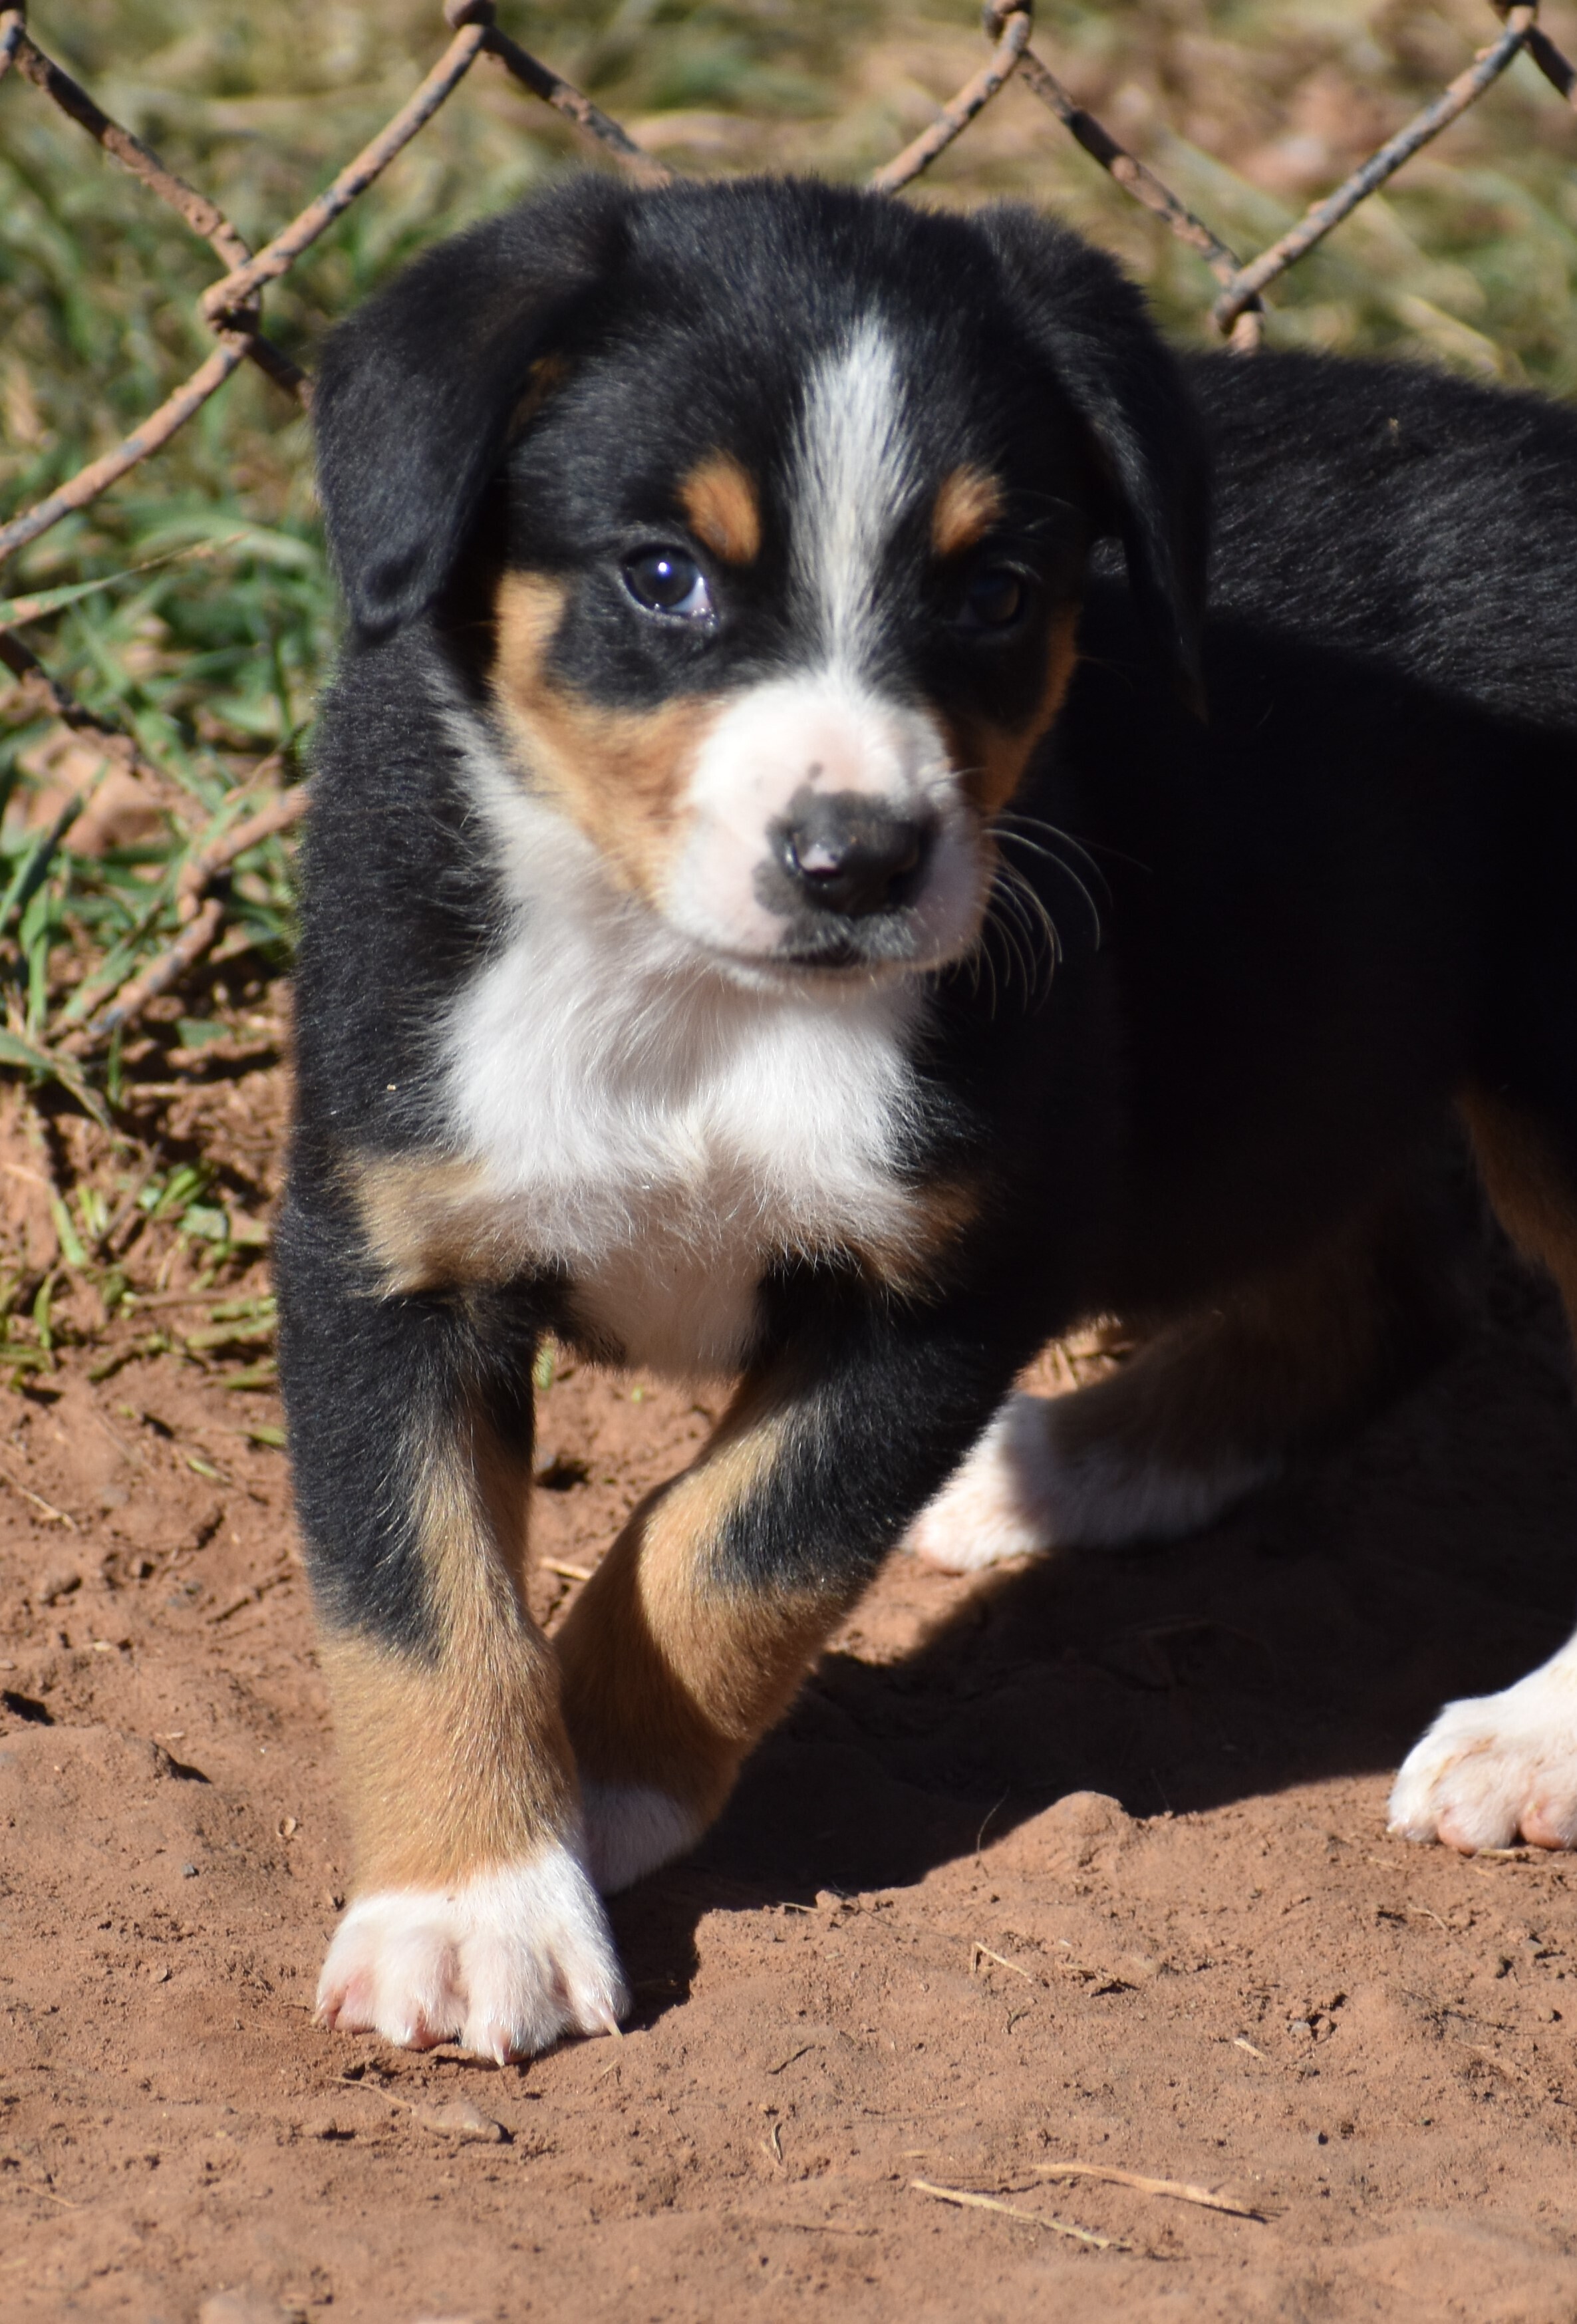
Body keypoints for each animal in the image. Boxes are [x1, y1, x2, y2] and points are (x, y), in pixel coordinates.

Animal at [283, 172, 1577, 2054]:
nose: (858, 859)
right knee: (1386, 1293)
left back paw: (1528, 1739)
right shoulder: (388, 1241)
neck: (693, 995)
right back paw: (1058, 1468)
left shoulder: (967, 1261)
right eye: (663, 578)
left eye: (998, 592)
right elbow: (417, 1596)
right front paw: (473, 1903)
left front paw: (596, 1781)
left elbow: (730, 1542)